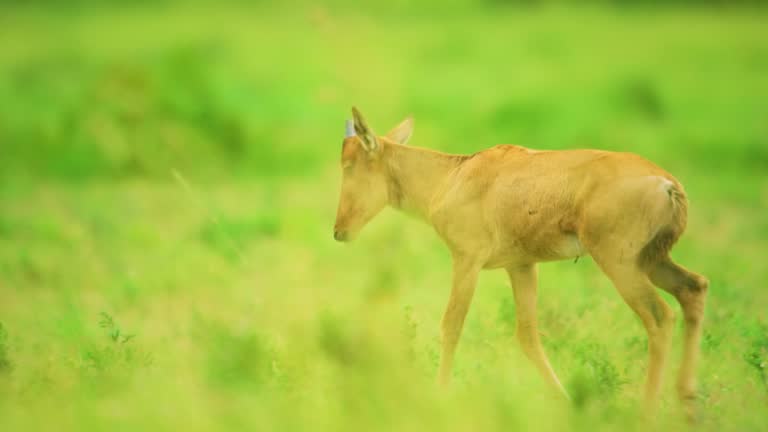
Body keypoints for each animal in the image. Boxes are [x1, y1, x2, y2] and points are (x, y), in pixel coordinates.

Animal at [332, 107, 712, 416]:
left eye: (349, 165)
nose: (339, 231)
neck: (456, 175)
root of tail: (667, 184)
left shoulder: (467, 260)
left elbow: (451, 326)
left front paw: (439, 396)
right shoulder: (521, 266)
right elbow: (527, 335)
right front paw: (566, 404)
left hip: (620, 263)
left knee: (660, 317)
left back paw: (647, 413)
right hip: (652, 260)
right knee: (693, 289)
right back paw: (688, 404)